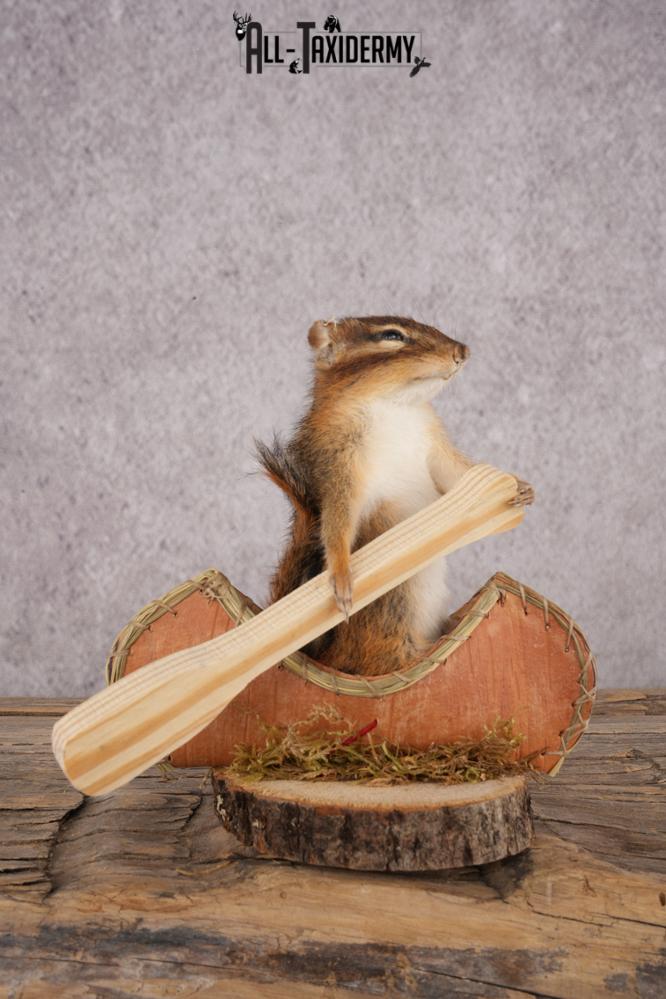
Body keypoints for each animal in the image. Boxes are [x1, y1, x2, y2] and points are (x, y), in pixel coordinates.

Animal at [255, 316, 534, 676]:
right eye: (391, 335)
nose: (463, 351)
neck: (394, 407)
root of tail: (331, 658)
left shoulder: (436, 449)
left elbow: (459, 474)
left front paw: (521, 486)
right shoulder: (340, 468)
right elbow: (337, 522)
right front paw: (341, 577)